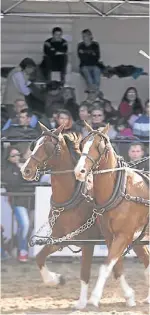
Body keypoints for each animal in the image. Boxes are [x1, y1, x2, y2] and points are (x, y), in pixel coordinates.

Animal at [74, 123, 149, 308]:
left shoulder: (124, 235)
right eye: (82, 144)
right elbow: (116, 267)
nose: (80, 171)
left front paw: (94, 298)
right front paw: (129, 297)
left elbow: (105, 267)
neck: (120, 190)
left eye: (99, 146)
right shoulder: (111, 236)